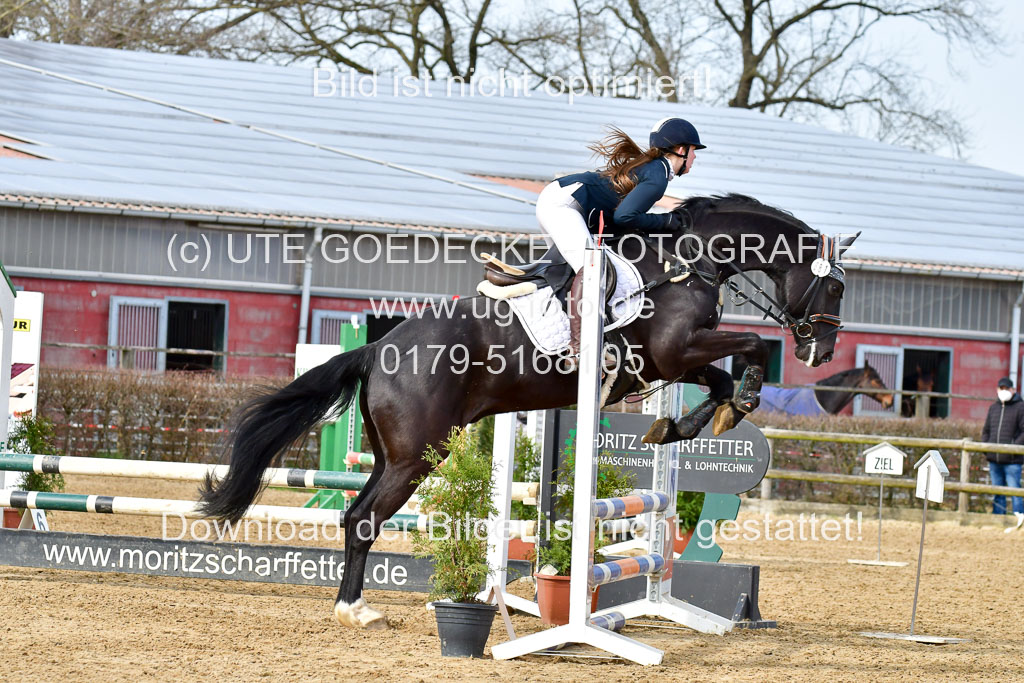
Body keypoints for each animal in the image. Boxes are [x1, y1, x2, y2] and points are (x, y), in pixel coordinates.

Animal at [197, 192, 856, 630]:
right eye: (837, 287)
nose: (820, 352)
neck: (687, 260)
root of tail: (378, 348)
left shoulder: (671, 362)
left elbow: (717, 382)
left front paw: (684, 424)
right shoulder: (675, 350)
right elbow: (750, 351)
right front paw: (736, 402)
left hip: (395, 453)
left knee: (358, 512)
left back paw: (354, 604)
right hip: (416, 457)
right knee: (361, 518)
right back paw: (356, 610)